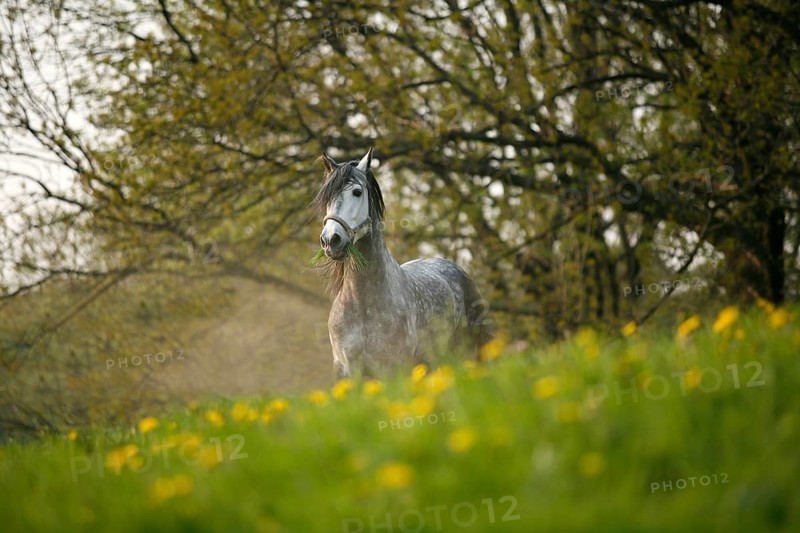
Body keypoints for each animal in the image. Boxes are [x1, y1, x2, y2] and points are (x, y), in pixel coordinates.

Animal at [311, 147, 492, 380]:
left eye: (357, 192)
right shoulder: (348, 371)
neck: (363, 303)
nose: (330, 240)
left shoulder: (392, 369)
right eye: (327, 196)